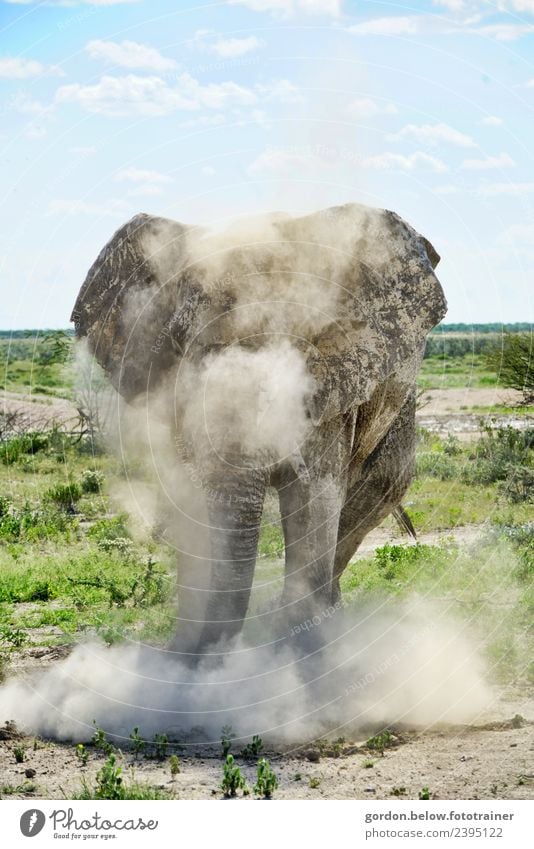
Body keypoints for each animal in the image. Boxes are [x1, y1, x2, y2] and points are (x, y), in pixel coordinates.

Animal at [71, 202, 448, 652]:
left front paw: (296, 646)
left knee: (378, 488)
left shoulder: (327, 389)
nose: (200, 653)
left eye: (293, 349)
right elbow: (190, 499)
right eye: (182, 346)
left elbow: (315, 494)